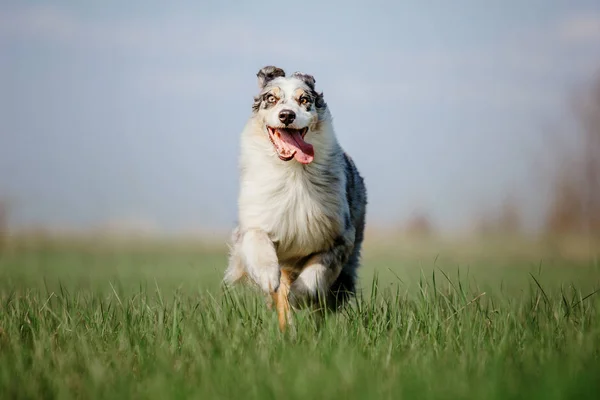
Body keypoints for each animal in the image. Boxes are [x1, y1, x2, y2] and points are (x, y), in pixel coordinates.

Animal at [224, 65, 366, 328]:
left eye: (304, 100)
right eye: (272, 99)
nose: (287, 115)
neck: (292, 173)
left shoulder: (341, 237)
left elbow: (317, 272)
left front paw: (300, 294)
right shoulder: (255, 221)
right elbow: (258, 242)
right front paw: (268, 277)